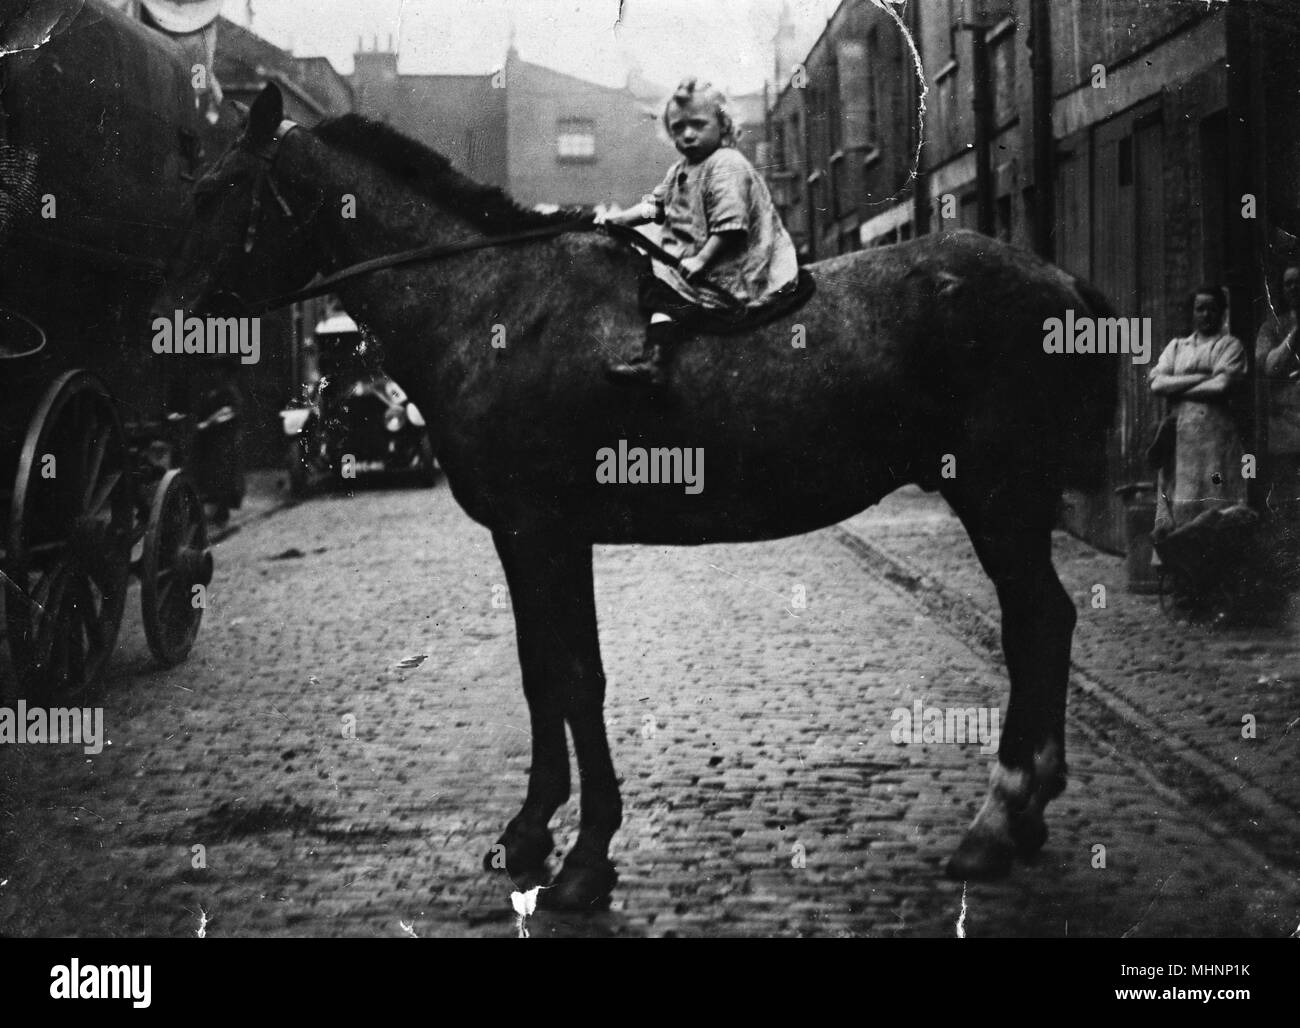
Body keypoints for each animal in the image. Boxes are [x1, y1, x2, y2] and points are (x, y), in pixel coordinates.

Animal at [175, 86, 1118, 909]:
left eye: (217, 190)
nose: (185, 330)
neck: (495, 306)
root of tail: (1061, 285)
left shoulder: (549, 530)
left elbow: (578, 677)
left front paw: (586, 860)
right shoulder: (520, 537)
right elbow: (540, 675)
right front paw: (529, 831)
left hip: (998, 494)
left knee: (1036, 621)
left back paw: (997, 820)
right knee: (1046, 621)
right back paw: (1026, 813)